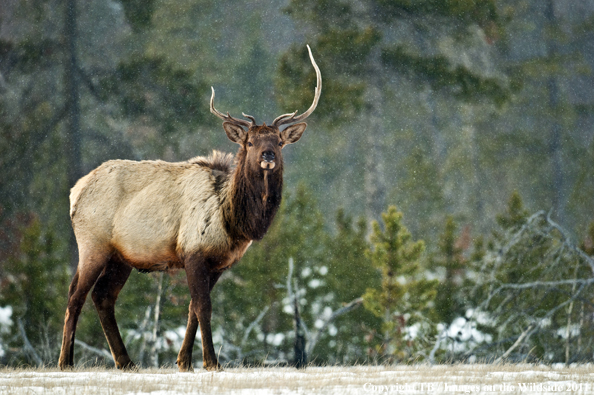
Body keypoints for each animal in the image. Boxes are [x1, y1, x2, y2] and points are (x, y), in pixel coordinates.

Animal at [56, 45, 320, 372]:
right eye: (249, 141)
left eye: (279, 141)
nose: (268, 155)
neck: (234, 221)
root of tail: (75, 192)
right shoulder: (193, 250)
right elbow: (203, 307)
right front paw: (211, 361)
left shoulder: (219, 263)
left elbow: (193, 307)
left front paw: (183, 361)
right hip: (93, 243)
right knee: (75, 295)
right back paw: (66, 362)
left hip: (122, 256)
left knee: (103, 296)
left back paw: (126, 361)